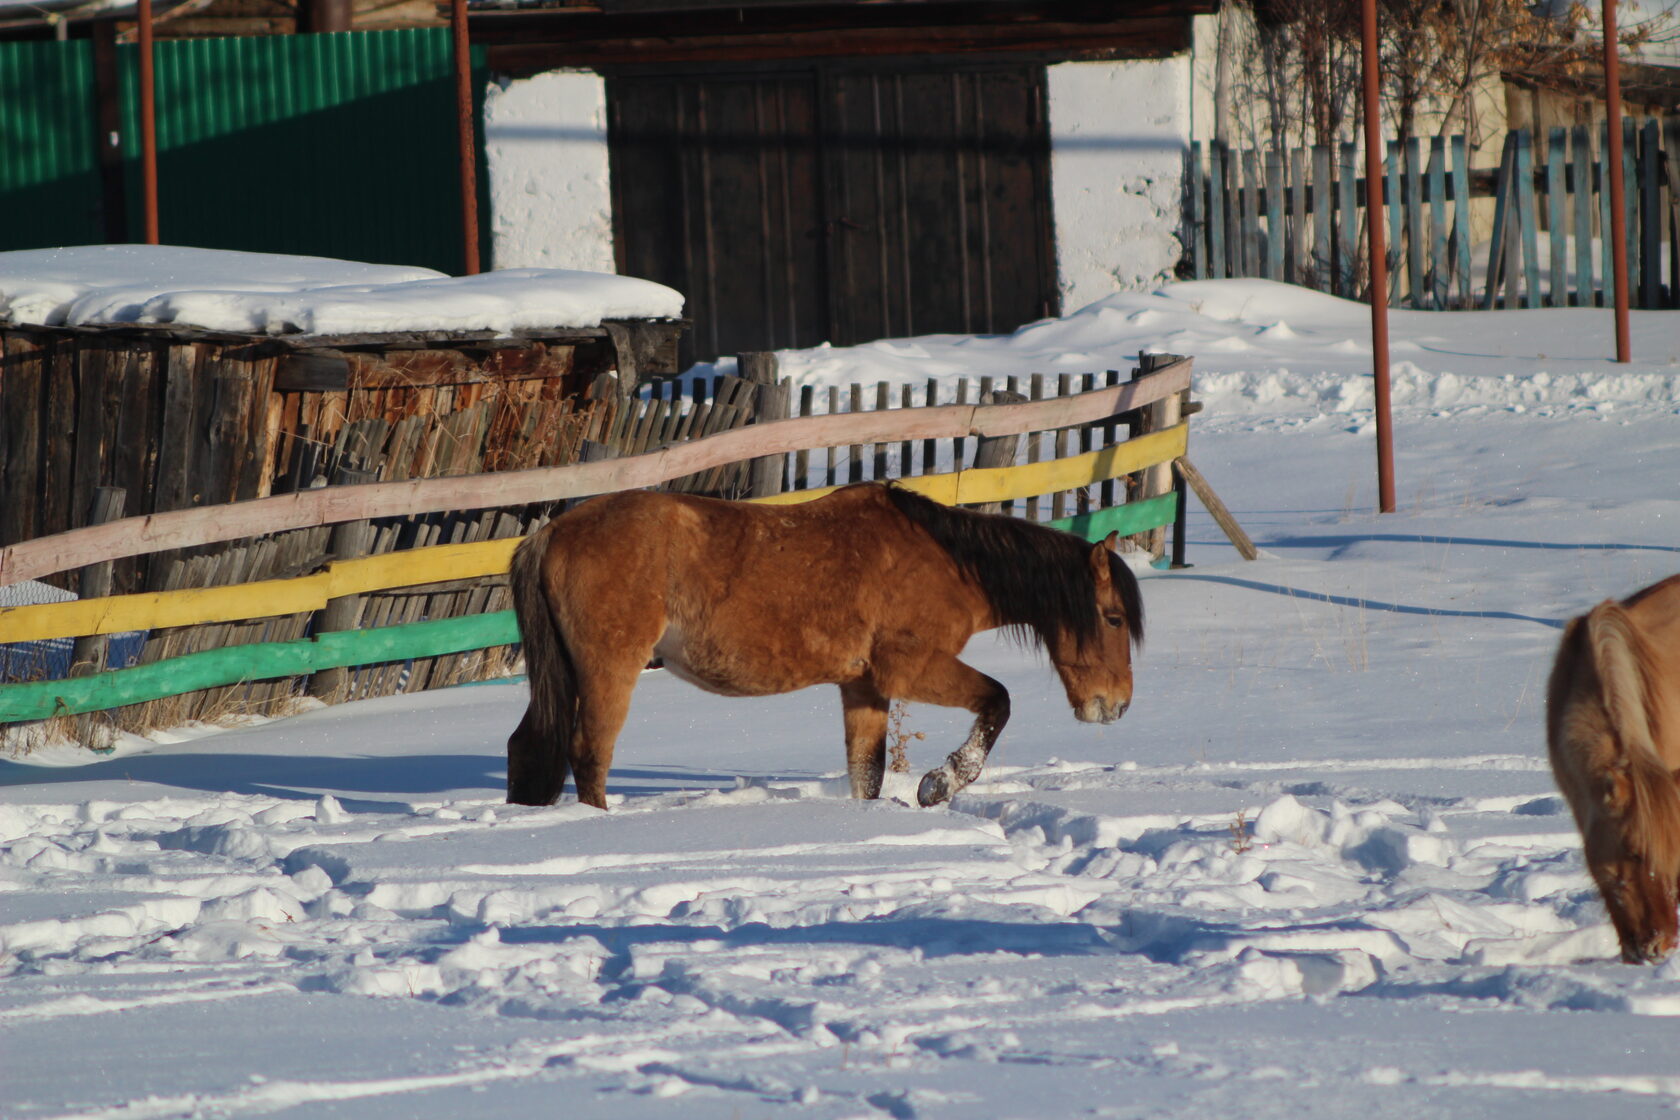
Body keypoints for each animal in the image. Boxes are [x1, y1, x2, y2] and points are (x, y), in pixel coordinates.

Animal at [507, 483, 1142, 805]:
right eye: (1112, 618)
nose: (1115, 705)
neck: (945, 561)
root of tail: (552, 532)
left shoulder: (863, 687)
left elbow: (868, 773)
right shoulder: (908, 668)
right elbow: (998, 702)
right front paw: (939, 784)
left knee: (527, 749)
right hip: (608, 673)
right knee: (590, 755)